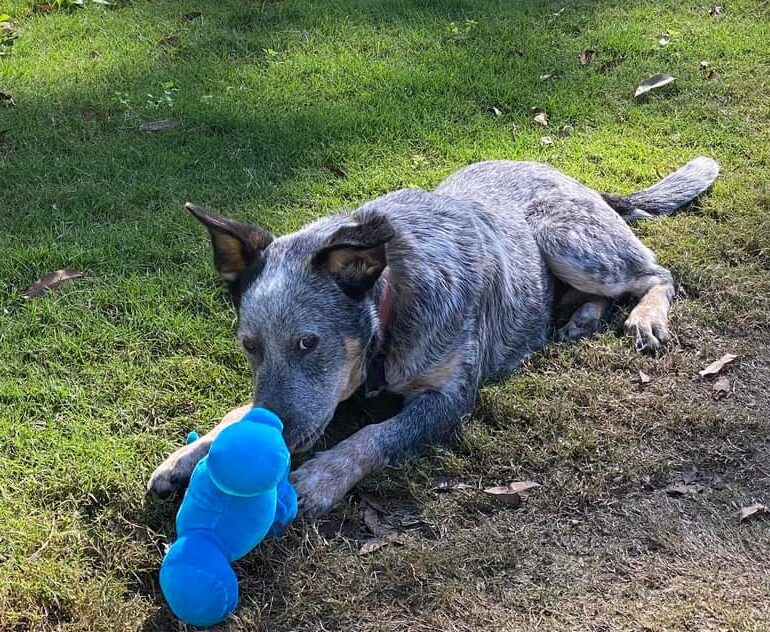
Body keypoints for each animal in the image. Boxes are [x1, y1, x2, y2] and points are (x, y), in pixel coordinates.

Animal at [146, 156, 720, 516]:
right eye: (249, 346)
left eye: (308, 343)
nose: (276, 440)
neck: (391, 305)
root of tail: (577, 179)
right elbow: (239, 412)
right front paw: (186, 457)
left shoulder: (450, 397)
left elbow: (374, 435)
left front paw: (321, 476)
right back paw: (580, 319)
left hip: (566, 239)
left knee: (656, 273)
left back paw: (646, 317)